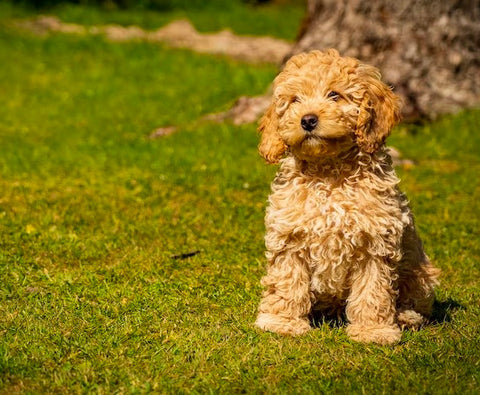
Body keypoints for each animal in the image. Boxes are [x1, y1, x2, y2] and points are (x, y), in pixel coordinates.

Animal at [255, 50, 438, 346]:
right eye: (294, 100)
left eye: (334, 95)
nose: (307, 120)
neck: (328, 173)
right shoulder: (289, 237)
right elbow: (287, 281)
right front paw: (281, 321)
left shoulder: (375, 242)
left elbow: (373, 290)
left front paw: (373, 331)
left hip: (419, 271)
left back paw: (406, 316)